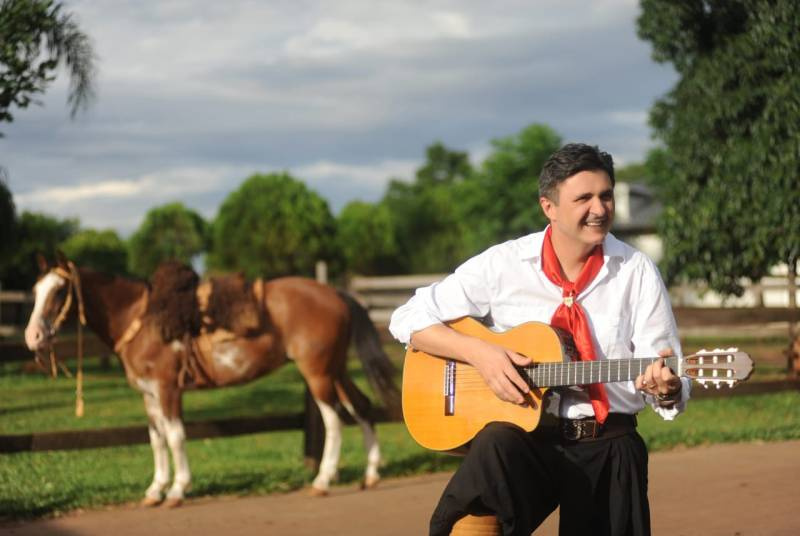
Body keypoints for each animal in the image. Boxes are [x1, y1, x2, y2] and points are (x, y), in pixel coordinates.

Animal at [24, 255, 400, 506]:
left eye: (60, 291)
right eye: (36, 289)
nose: (33, 336)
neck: (140, 321)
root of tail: (336, 294)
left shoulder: (168, 389)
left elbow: (175, 437)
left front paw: (177, 490)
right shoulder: (148, 395)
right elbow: (156, 439)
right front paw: (155, 489)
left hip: (317, 373)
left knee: (334, 420)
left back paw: (323, 480)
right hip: (336, 369)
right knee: (361, 406)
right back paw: (371, 474)